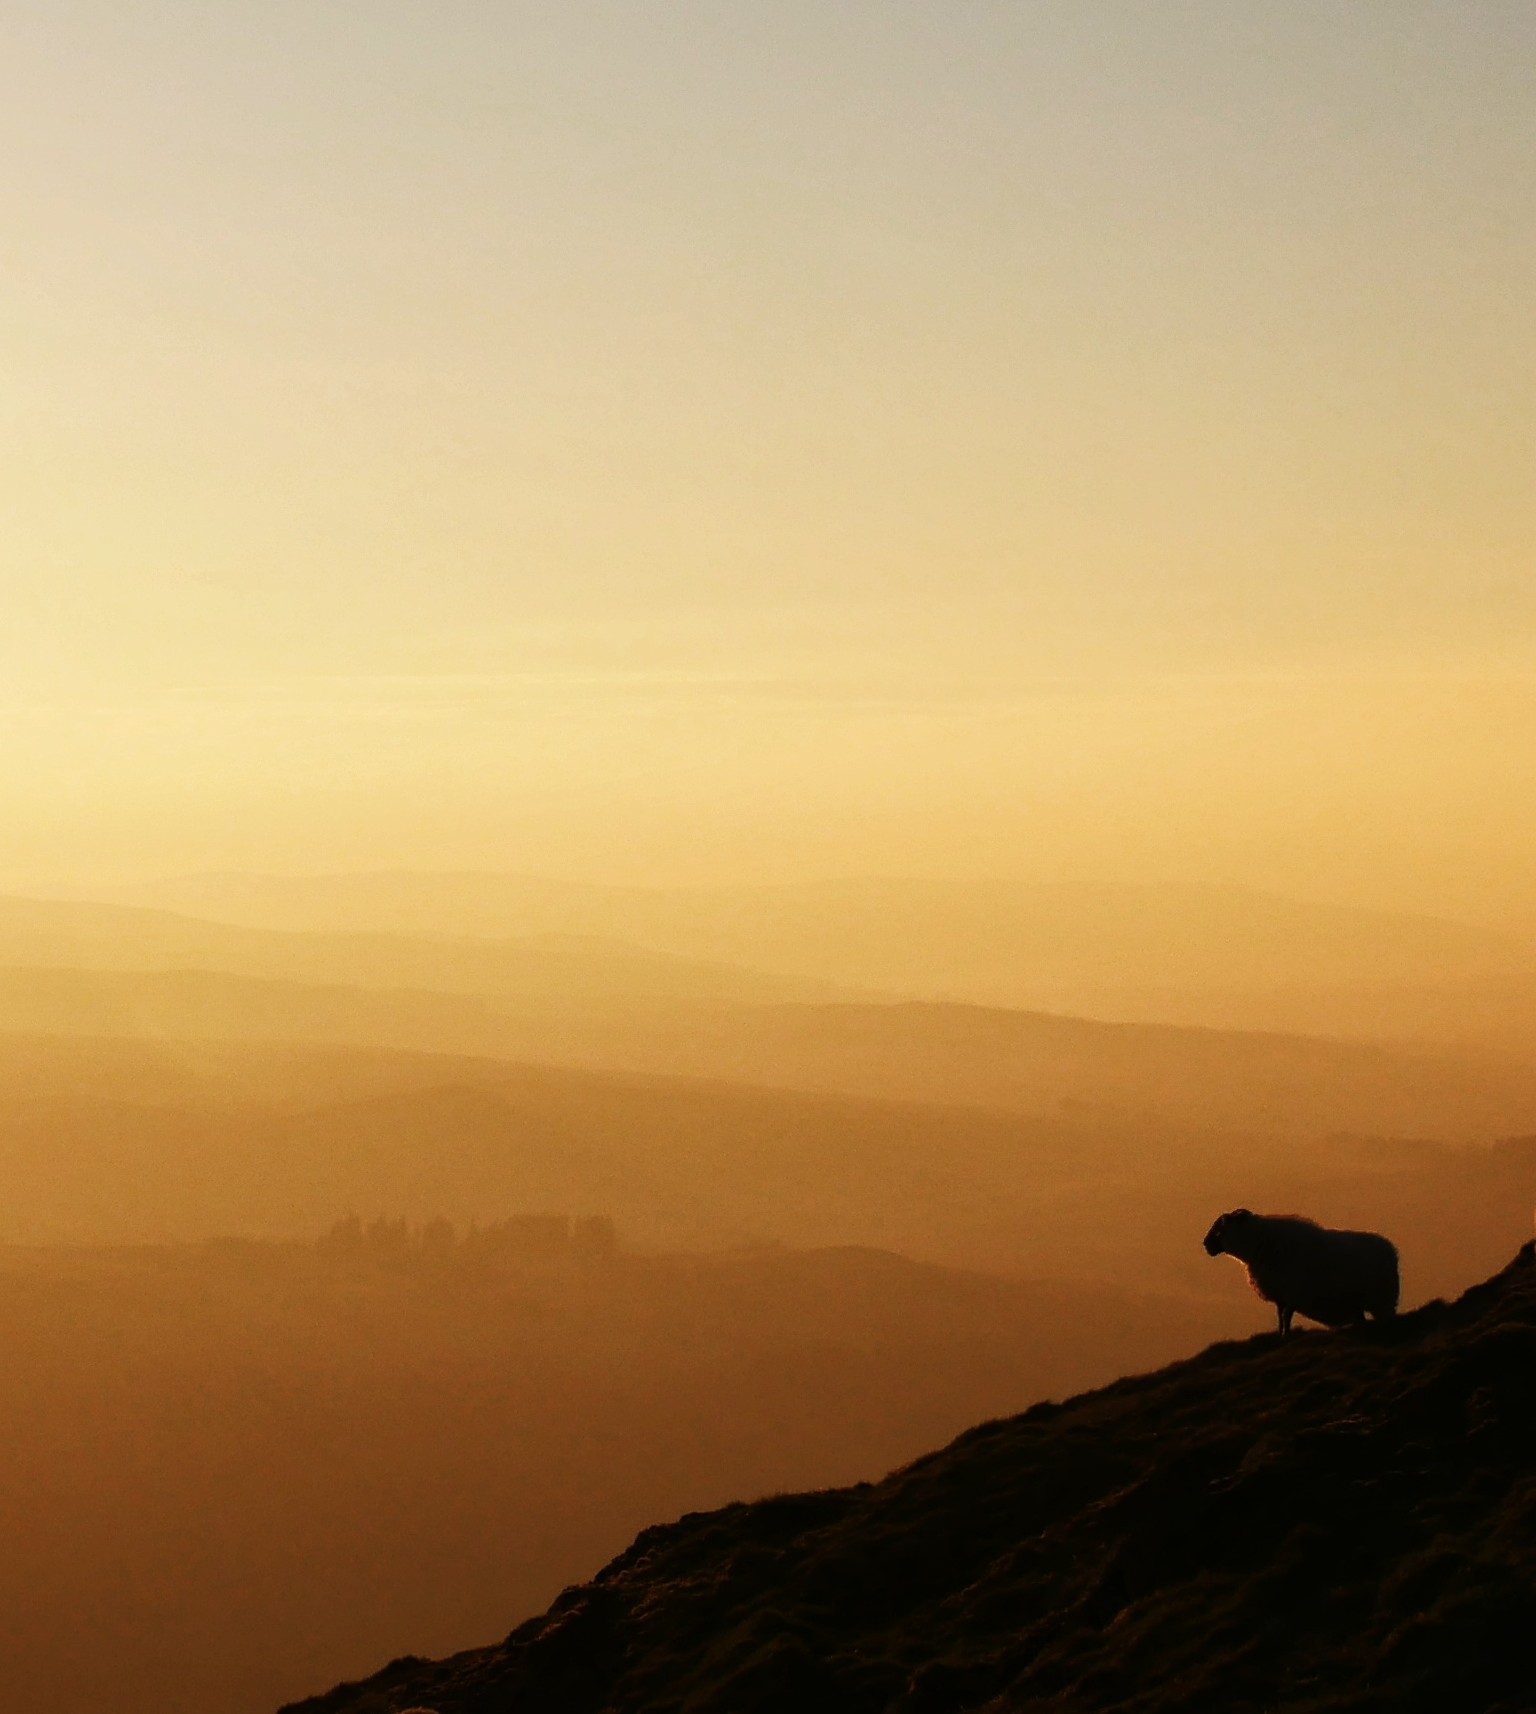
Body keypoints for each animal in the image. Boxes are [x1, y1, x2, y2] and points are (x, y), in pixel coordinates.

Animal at [1206, 1206, 1398, 1336]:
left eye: (1219, 1231)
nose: (1206, 1245)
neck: (1259, 1242)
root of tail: (1390, 1249)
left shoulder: (1292, 1293)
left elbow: (1286, 1317)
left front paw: (1286, 1335)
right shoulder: (1281, 1295)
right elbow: (1280, 1316)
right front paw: (1281, 1335)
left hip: (1382, 1300)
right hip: (1358, 1303)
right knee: (1362, 1320)